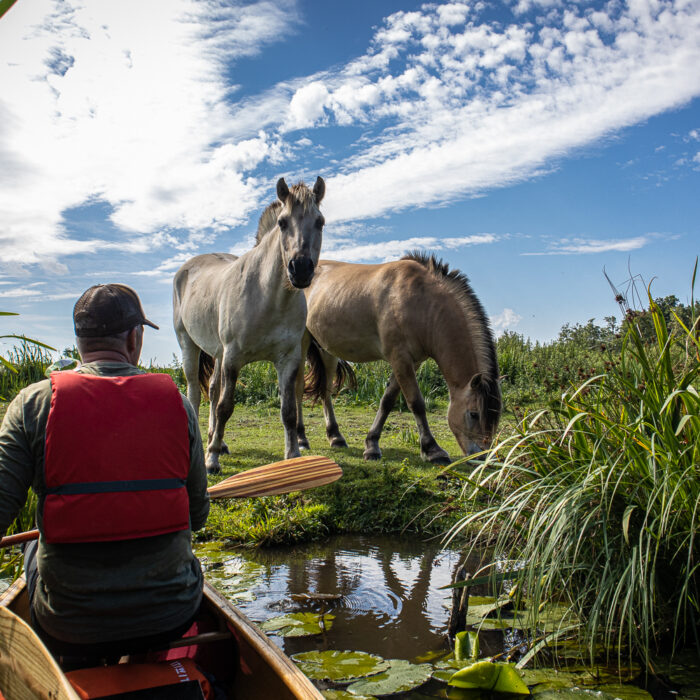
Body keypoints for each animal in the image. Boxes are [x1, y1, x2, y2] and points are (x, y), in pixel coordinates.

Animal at [175, 175, 328, 474]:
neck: (268, 297)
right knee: (196, 393)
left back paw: (217, 441)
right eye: (282, 222)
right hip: (189, 344)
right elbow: (225, 406)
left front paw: (293, 455)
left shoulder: (288, 359)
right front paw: (212, 461)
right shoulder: (233, 357)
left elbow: (288, 410)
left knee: (212, 389)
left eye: (320, 221)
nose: (300, 269)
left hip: (218, 353)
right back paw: (206, 446)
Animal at [298, 253, 500, 464]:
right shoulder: (400, 359)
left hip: (328, 352)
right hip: (301, 343)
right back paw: (301, 439)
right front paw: (432, 450)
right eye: (474, 414)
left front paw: (372, 445)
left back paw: (335, 437)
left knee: (326, 391)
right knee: (297, 388)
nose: (483, 457)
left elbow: (387, 401)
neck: (422, 303)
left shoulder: (410, 362)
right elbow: (416, 403)